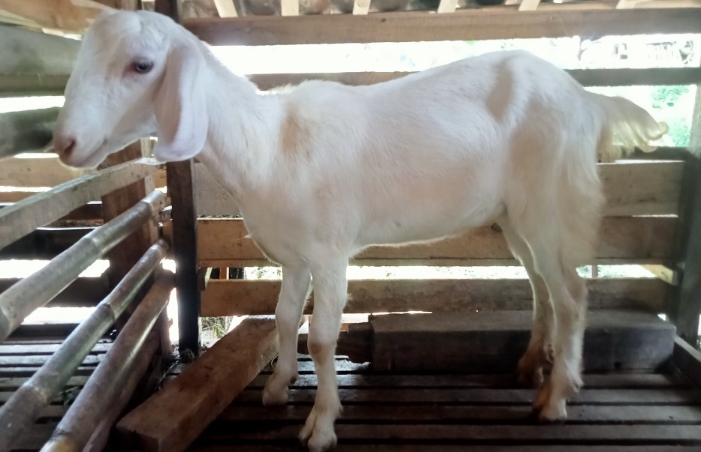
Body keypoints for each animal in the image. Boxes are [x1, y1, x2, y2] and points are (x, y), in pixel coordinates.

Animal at [53, 9, 667, 452]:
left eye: (141, 65)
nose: (64, 143)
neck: (270, 144)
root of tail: (587, 98)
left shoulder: (329, 253)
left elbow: (323, 338)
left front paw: (322, 424)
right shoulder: (295, 257)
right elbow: (283, 321)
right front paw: (276, 389)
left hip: (550, 202)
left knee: (573, 296)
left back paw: (555, 396)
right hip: (518, 216)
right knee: (542, 287)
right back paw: (528, 367)